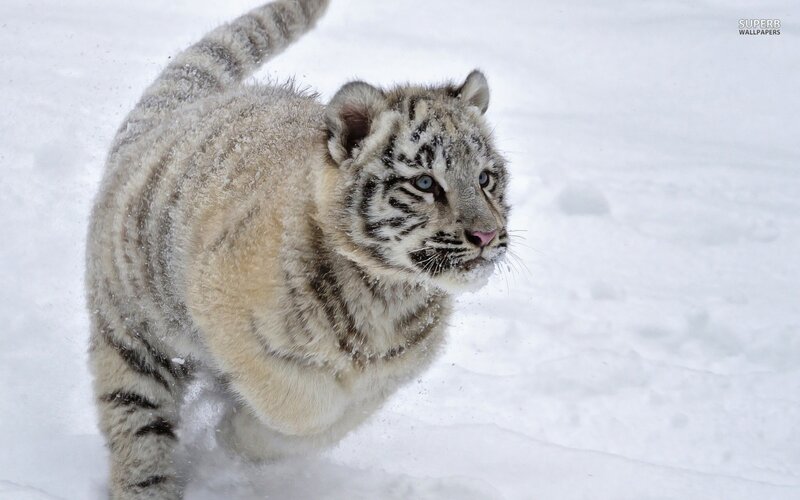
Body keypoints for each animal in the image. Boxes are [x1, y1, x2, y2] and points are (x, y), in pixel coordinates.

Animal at [85, 0, 511, 498]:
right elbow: (301, 406)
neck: (386, 294)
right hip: (133, 336)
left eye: (484, 178)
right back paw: (148, 485)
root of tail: (179, 111)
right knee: (138, 428)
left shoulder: (385, 377)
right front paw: (234, 432)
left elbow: (330, 421)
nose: (486, 235)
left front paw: (241, 435)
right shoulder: (224, 308)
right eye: (425, 183)